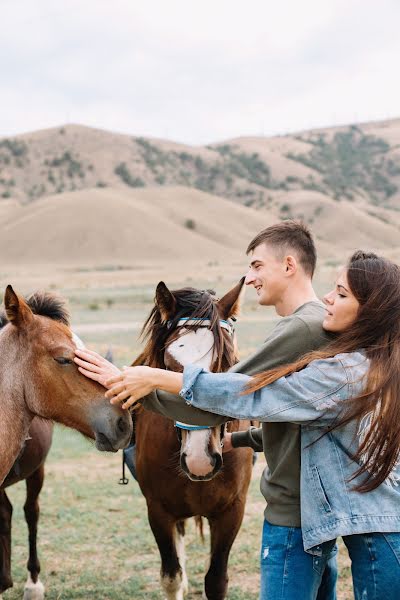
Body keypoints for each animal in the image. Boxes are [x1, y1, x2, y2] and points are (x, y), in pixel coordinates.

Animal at [130, 280, 253, 600]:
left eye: (228, 363)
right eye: (168, 367)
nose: (200, 460)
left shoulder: (231, 511)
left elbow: (216, 580)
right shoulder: (158, 510)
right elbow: (171, 577)